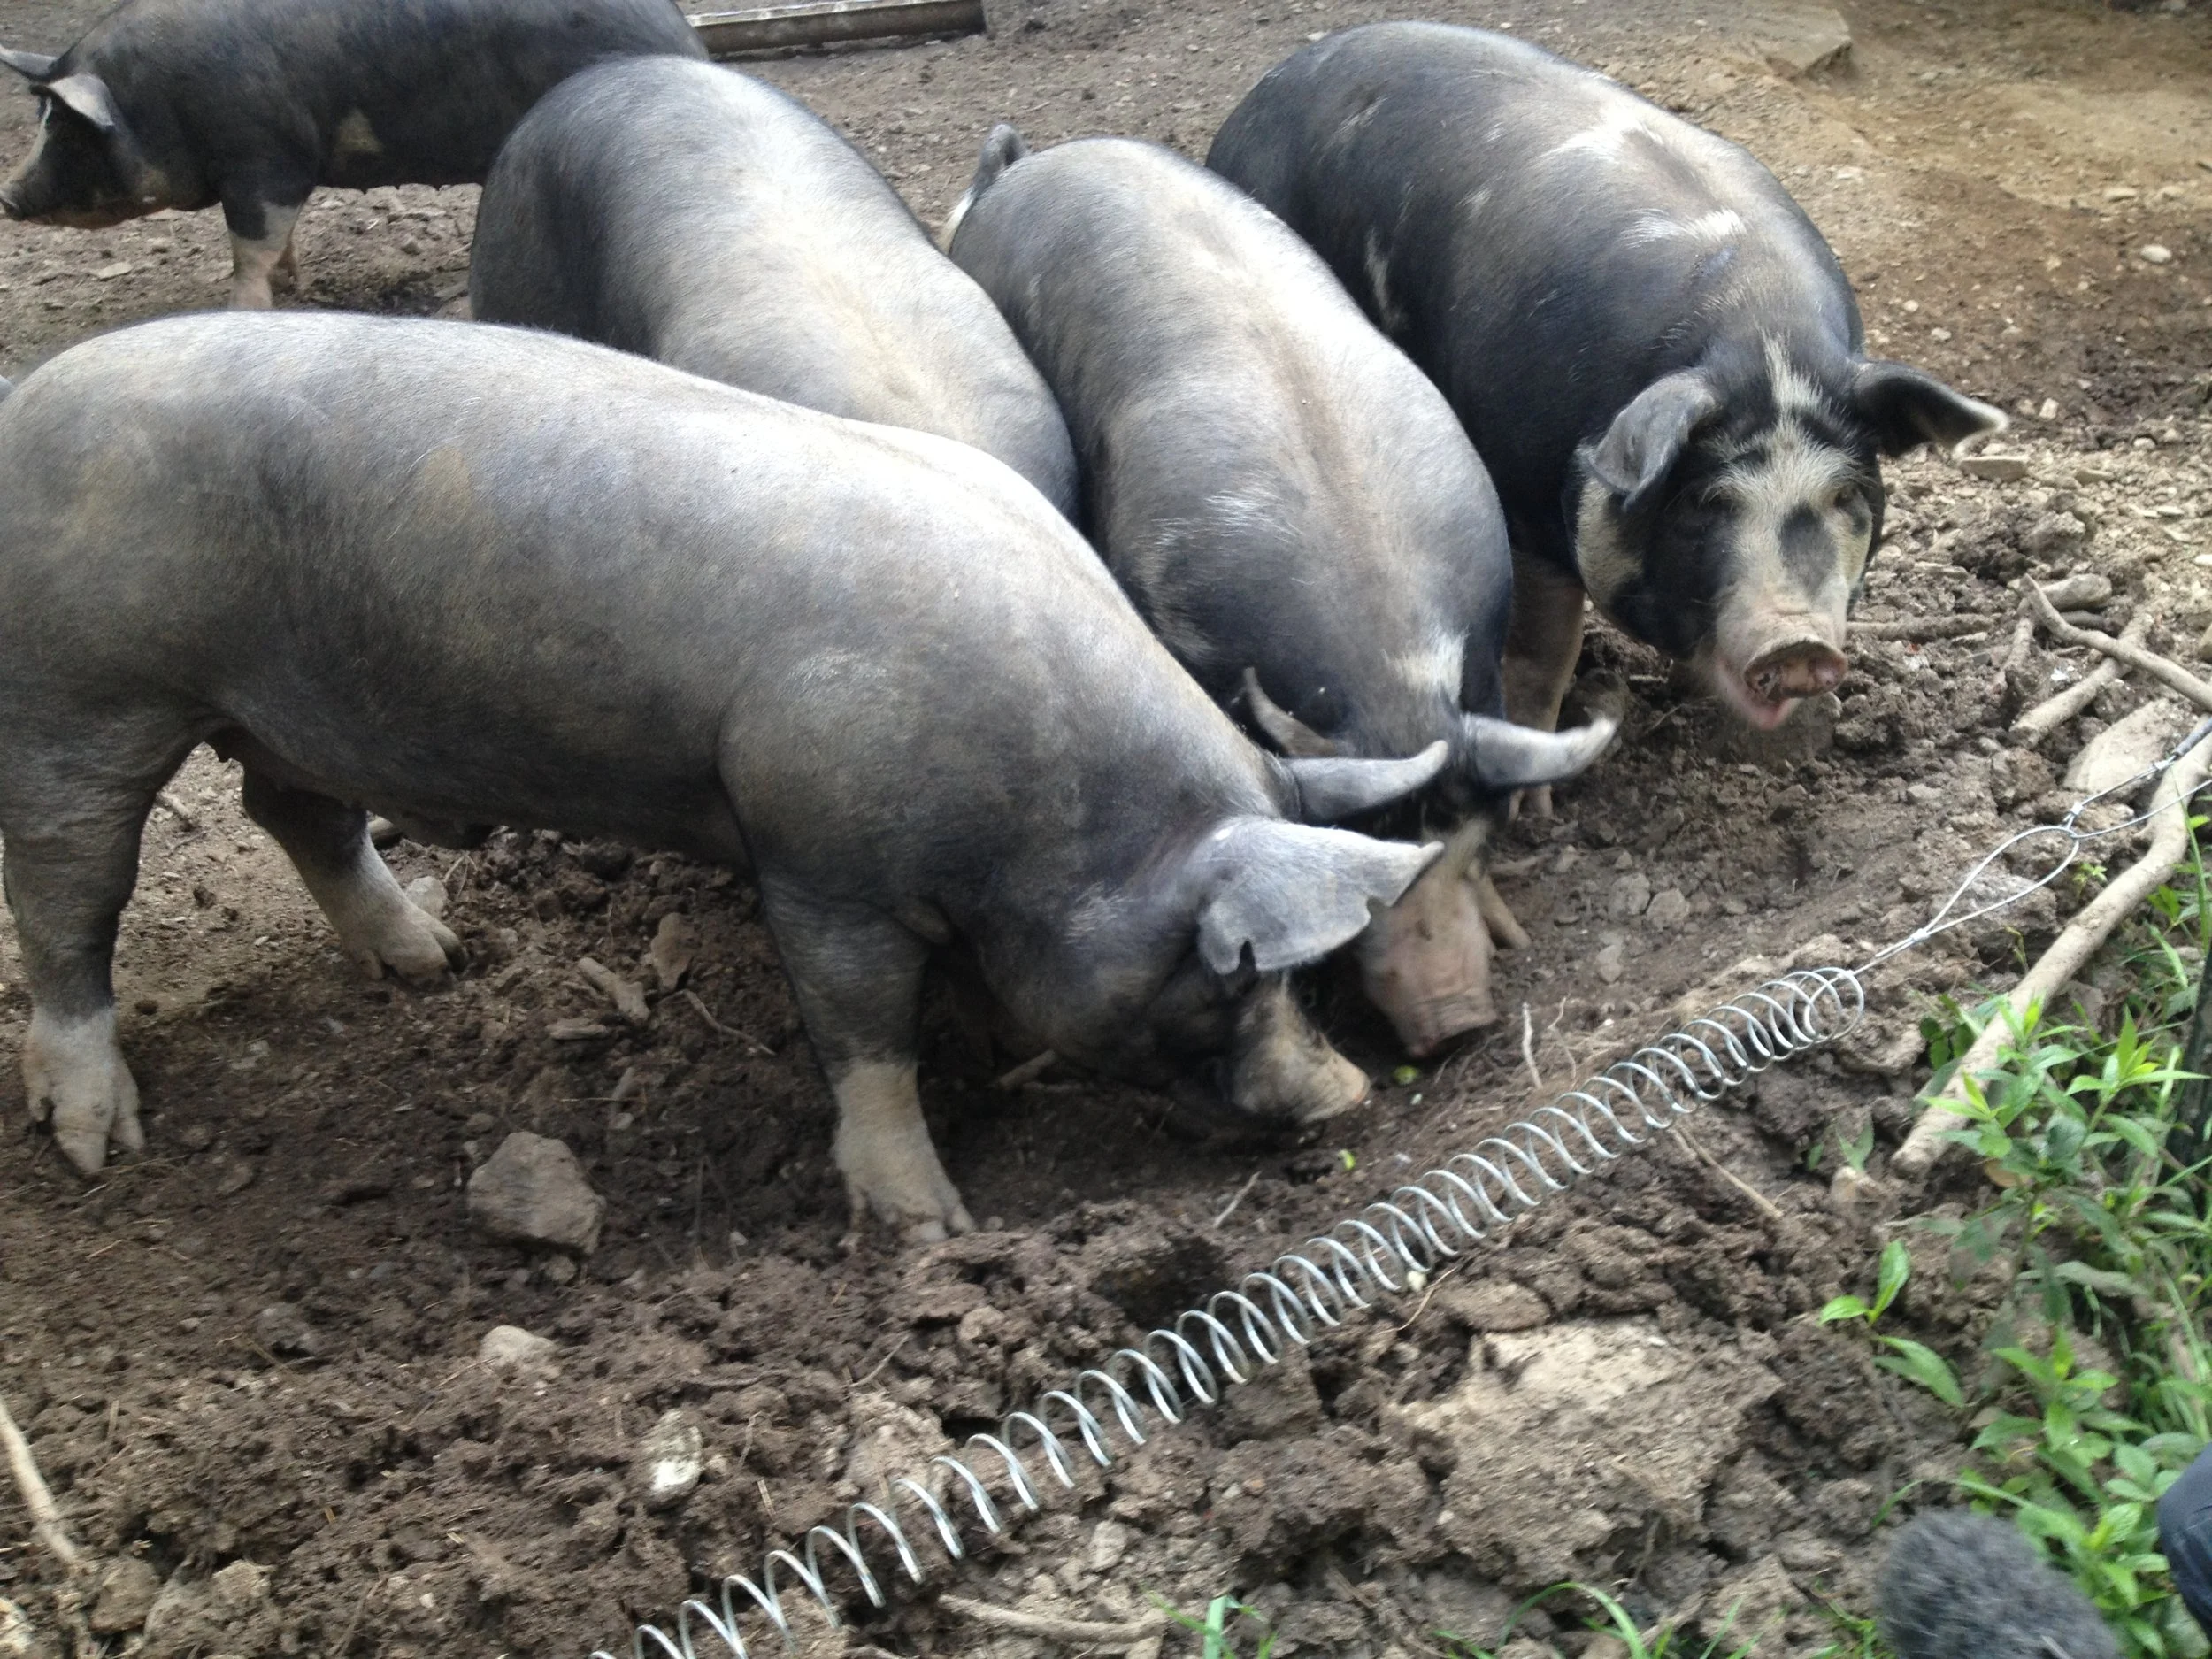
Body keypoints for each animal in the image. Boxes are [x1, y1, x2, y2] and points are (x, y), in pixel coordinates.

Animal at [0, 0, 706, 309]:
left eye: (67, 130)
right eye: (40, 121)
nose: (6, 193)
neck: (155, 101)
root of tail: (687, 38)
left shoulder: (264, 158)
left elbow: (249, 248)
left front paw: (248, 307)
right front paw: (293, 283)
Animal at [0, 311, 1448, 1242]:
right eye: (1228, 979)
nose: (1344, 1095)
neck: (1052, 820)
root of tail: (22, 403)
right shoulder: (818, 858)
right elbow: (864, 1039)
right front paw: (930, 1226)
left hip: (283, 708)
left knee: (292, 807)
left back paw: (436, 960)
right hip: (78, 698)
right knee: (69, 902)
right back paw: (97, 1143)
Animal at [1209, 23, 2005, 751]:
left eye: (1846, 496)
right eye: (1707, 501)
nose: (1800, 646)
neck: (1761, 335)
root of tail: (1261, 94)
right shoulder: (1524, 504)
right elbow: (1544, 649)